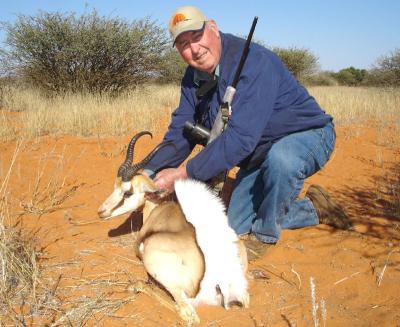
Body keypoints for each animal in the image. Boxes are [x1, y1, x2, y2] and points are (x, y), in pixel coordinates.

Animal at [97, 132, 247, 324]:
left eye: (128, 192)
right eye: (114, 186)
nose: (101, 212)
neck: (159, 208)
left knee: (187, 313)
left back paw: (134, 286)